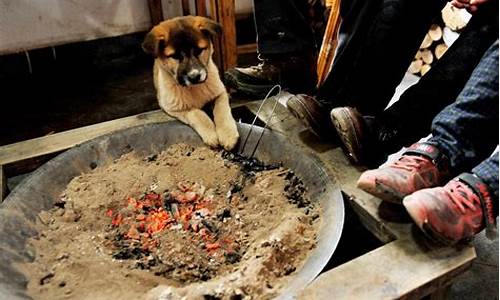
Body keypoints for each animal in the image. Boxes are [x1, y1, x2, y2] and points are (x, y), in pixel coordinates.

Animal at [143, 15, 240, 150]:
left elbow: (222, 110)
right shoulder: (173, 108)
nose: (194, 76)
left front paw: (227, 134)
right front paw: (211, 133)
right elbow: (197, 113)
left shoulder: (220, 93)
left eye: (199, 50)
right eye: (175, 56)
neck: (194, 88)